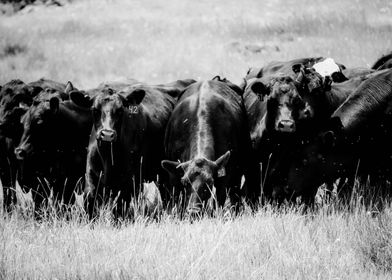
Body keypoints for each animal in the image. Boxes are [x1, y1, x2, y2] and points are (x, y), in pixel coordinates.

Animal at [160, 79, 258, 212]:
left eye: (210, 182)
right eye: (185, 182)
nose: (194, 210)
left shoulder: (225, 175)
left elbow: (219, 201)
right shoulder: (174, 177)